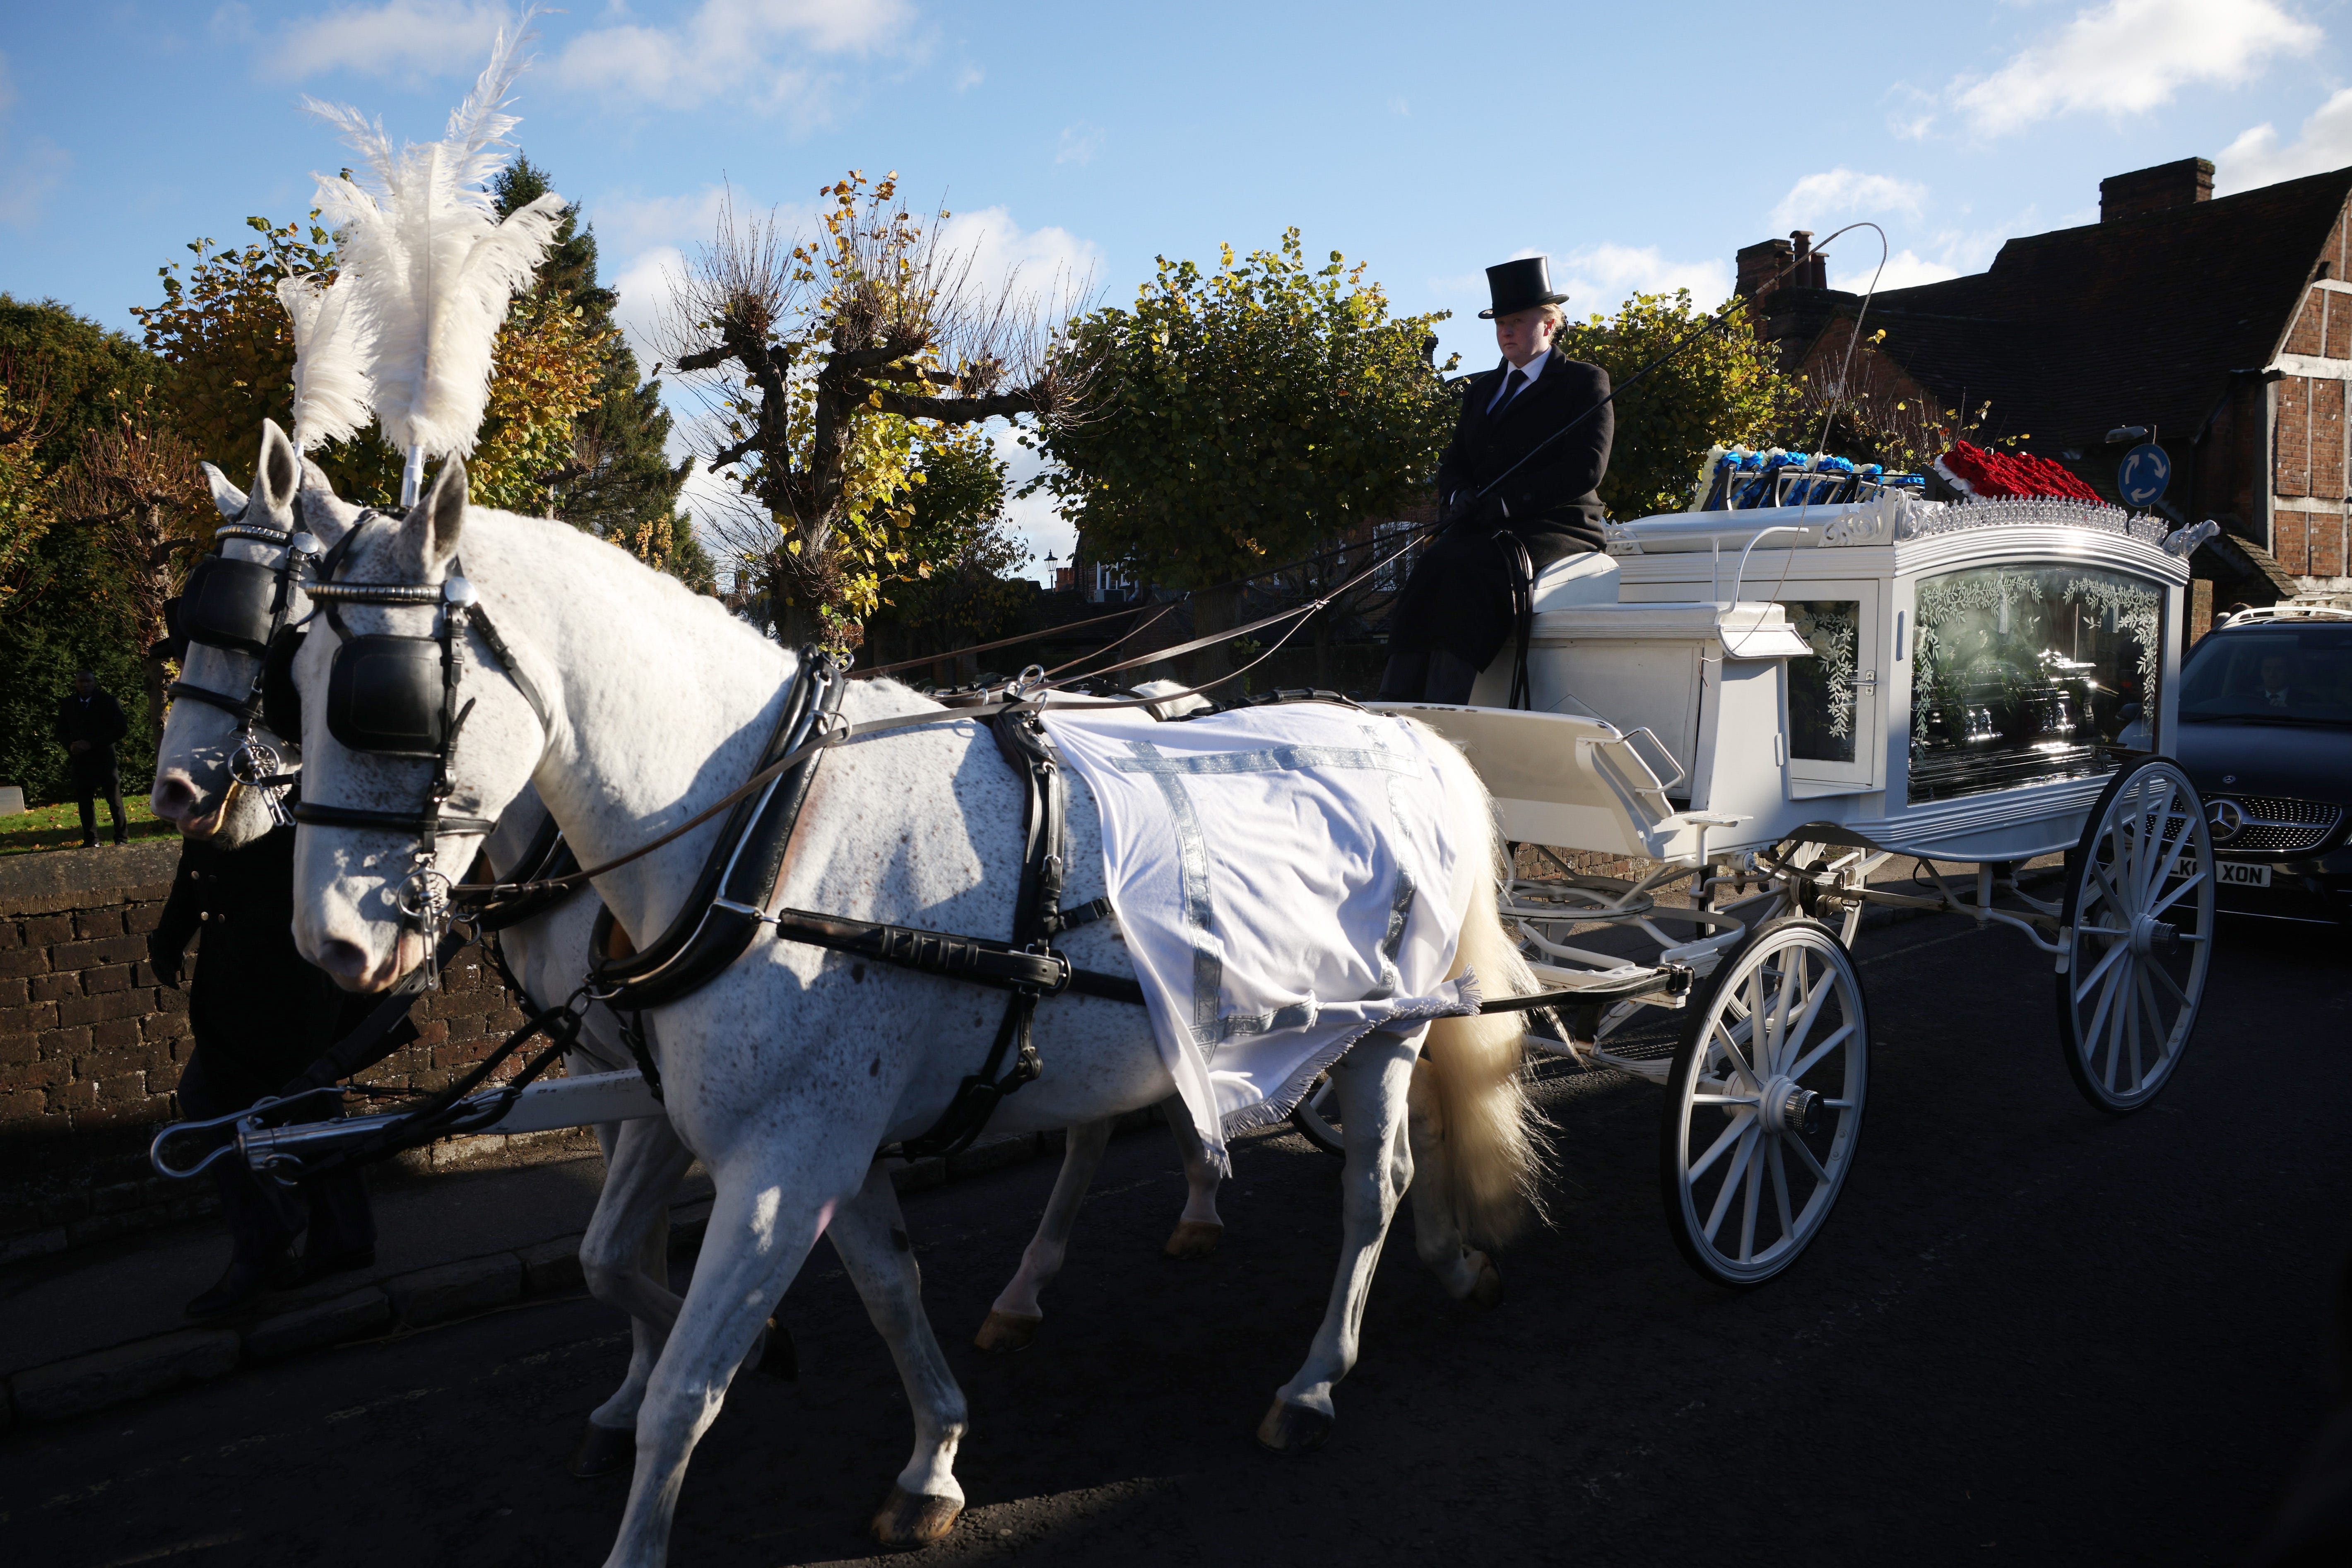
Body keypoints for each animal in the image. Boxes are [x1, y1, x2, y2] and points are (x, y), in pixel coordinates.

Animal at [277, 456, 1540, 1558]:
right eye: (294, 682)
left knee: (1374, 1181)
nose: (329, 945)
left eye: (384, 700)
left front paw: (662, 1481)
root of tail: (1401, 729)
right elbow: (867, 1290)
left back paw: (1317, 1377)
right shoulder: (807, 1139)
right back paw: (1434, 1261)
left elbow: (686, 1389)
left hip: (1385, 1022)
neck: (766, 830)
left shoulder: (781, 1162)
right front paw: (930, 1455)